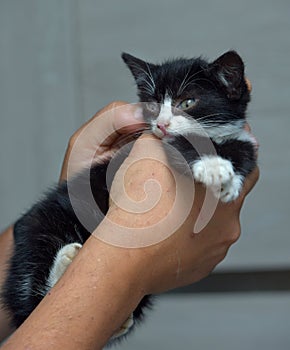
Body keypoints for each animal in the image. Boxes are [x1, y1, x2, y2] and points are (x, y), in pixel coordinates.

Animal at [1, 50, 256, 344]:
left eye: (188, 102)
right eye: (152, 105)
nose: (162, 124)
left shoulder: (241, 140)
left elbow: (245, 150)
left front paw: (229, 180)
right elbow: (180, 144)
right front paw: (213, 167)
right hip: (40, 226)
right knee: (30, 300)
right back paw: (64, 263)